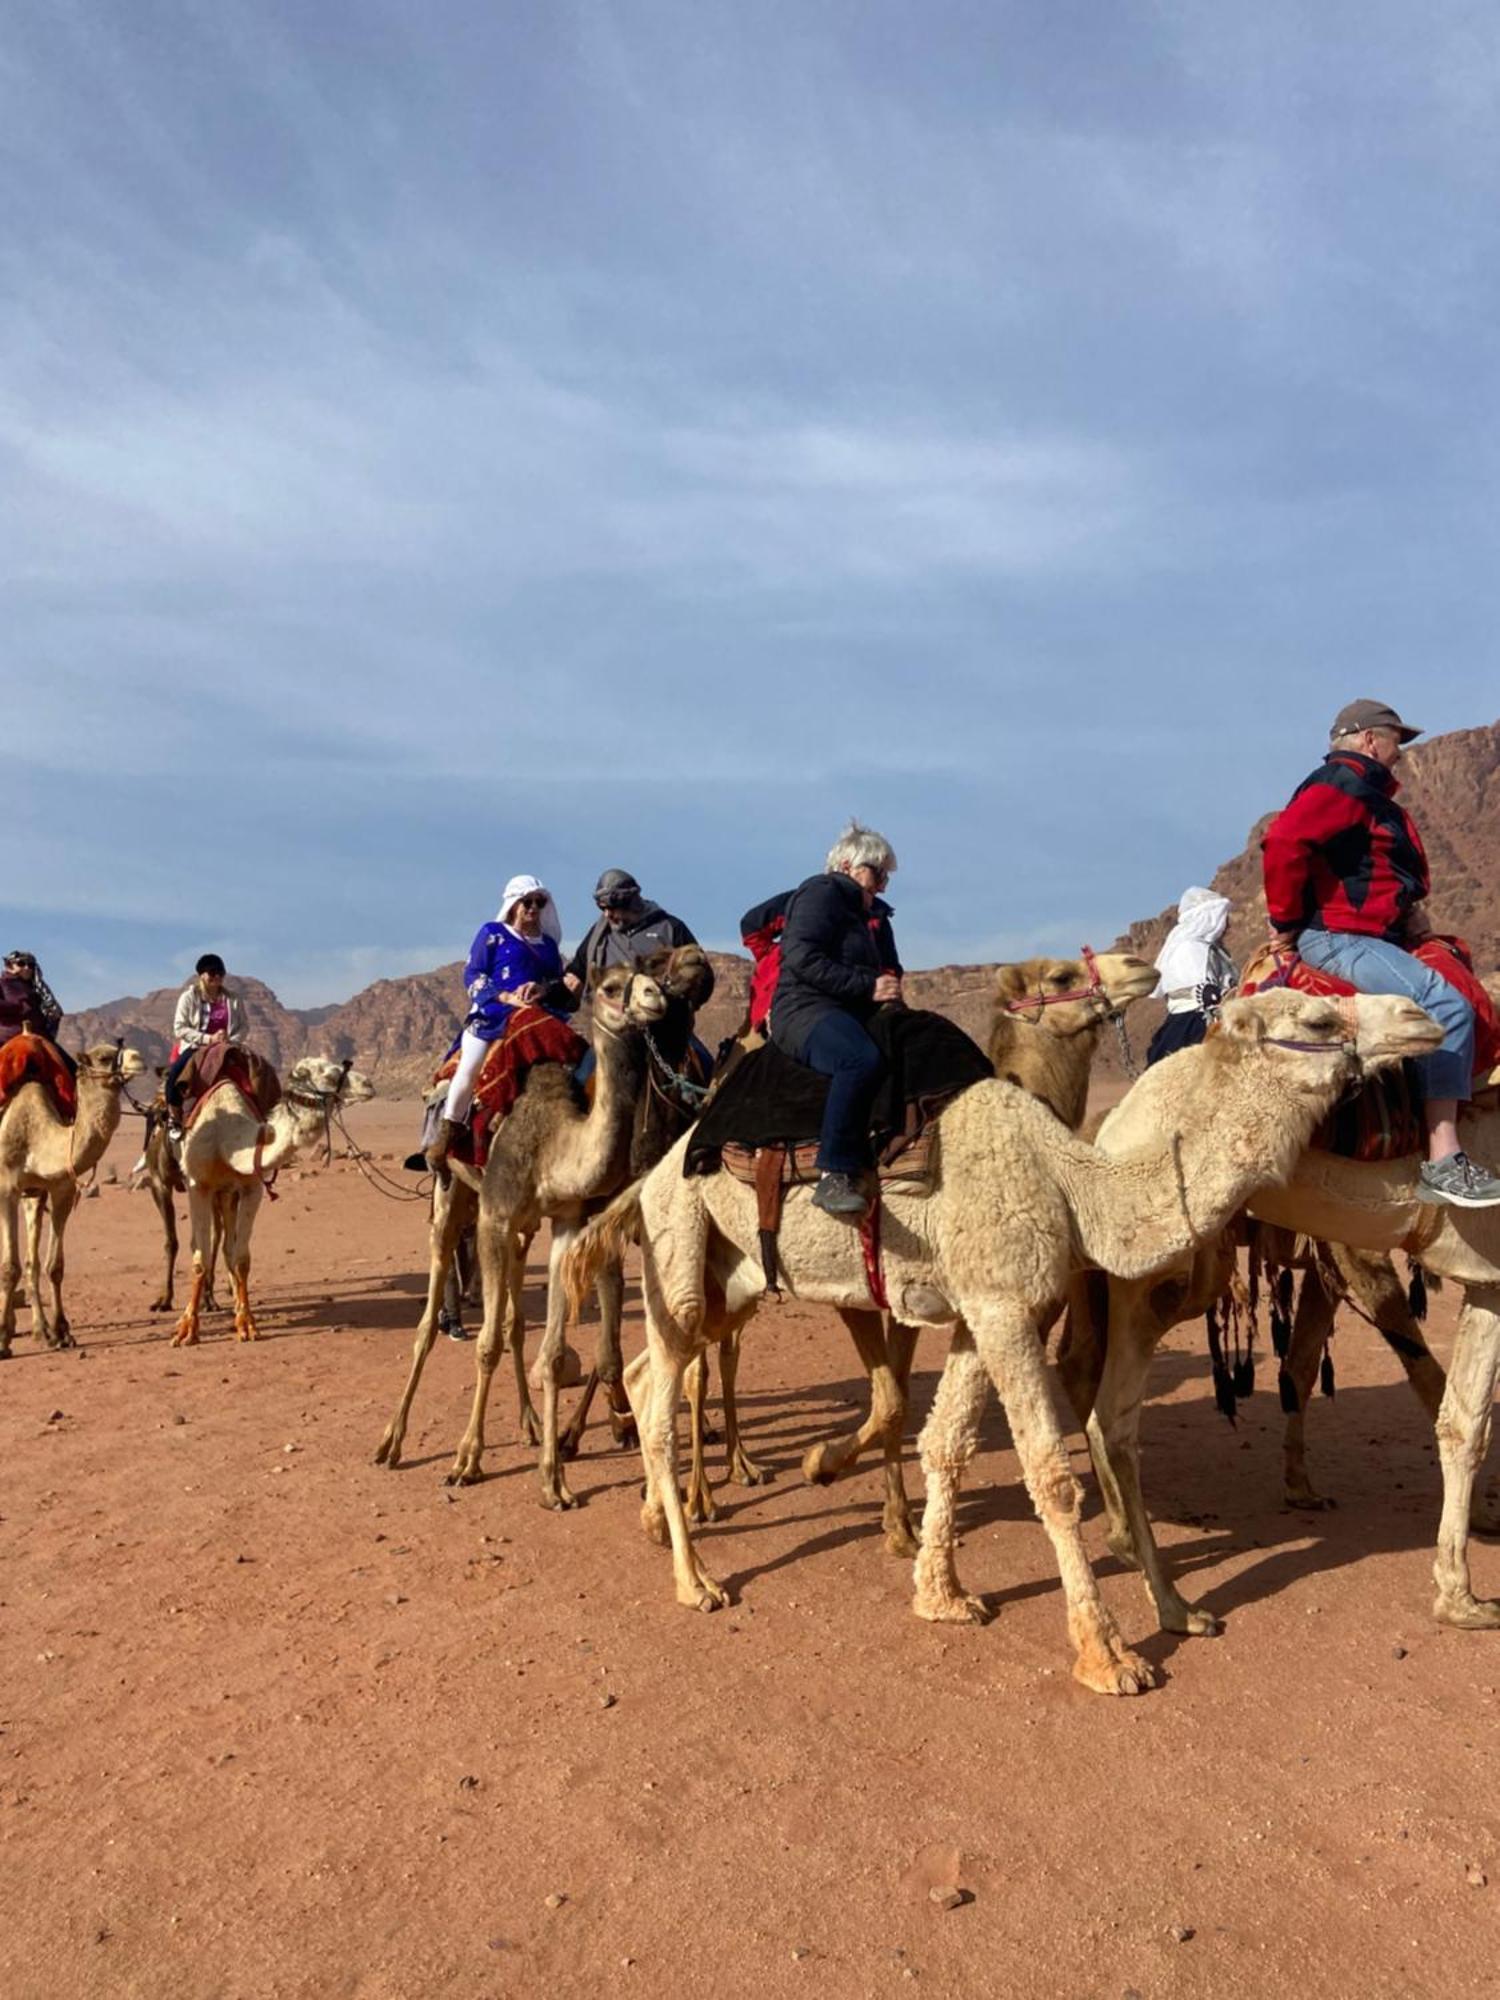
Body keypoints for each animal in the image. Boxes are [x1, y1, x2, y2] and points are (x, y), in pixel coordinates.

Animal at [0, 1048, 150, 1360]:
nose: (138, 1059)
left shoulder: (61, 1189)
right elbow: (9, 1267)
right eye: (104, 1057)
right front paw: (2, 1339)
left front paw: (62, 1333)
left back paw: (40, 1330)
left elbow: (54, 1266)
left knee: (32, 1261)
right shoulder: (6, 1186)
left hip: (33, 1196)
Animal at [172, 1056, 374, 1352]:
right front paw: (187, 1329)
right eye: (328, 1074)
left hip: (228, 1193)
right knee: (204, 1245)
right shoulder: (198, 1185)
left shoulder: (251, 1188)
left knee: (228, 1247)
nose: (368, 1084)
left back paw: (235, 1306)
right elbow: (200, 1258)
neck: (225, 1139)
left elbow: (242, 1258)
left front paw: (247, 1324)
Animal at [374, 960, 668, 1504]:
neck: (555, 1140)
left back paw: (530, 1424)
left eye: (650, 978)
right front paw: (466, 1460)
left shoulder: (564, 1222)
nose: (655, 998)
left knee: (513, 1319)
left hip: (522, 1228)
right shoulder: (494, 1215)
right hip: (453, 1195)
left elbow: (549, 1353)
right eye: (612, 987)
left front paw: (554, 1480)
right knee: (430, 1316)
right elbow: (485, 1345)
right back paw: (391, 1442)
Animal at [568, 992, 1440, 1696]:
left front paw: (943, 1596)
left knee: (650, 1369)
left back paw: (658, 1521)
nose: (1420, 1017)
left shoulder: (979, 1311)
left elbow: (947, 1444)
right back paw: (697, 1580)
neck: (1075, 1185)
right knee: (661, 1394)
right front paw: (1109, 1656)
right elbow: (1050, 1473)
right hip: (681, 1238)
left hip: (736, 1276)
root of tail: (652, 1173)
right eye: (1319, 1018)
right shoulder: (1007, 1310)